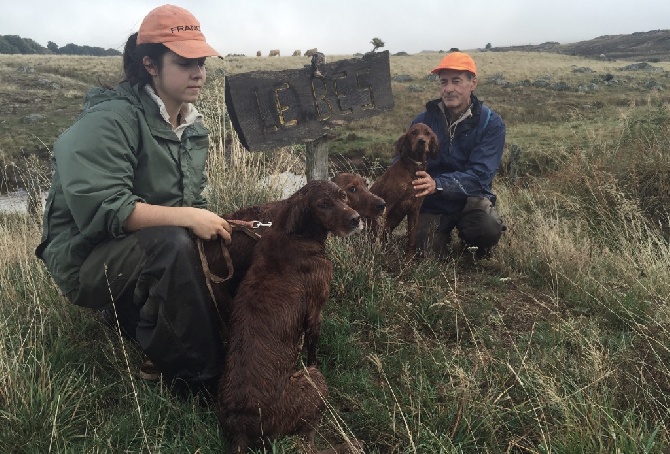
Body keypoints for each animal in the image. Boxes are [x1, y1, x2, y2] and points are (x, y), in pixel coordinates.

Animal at [218, 179, 364, 452]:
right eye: (323, 205)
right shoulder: (316, 311)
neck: (294, 236)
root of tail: (242, 427)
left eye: (343, 195)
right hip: (315, 382)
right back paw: (348, 445)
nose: (356, 219)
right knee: (308, 442)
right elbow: (312, 350)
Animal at [368, 122, 440, 258]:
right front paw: (376, 253)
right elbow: (378, 234)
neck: (413, 170)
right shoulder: (386, 205)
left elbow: (411, 238)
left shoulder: (414, 210)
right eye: (414, 132)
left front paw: (409, 259)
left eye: (427, 133)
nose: (421, 141)